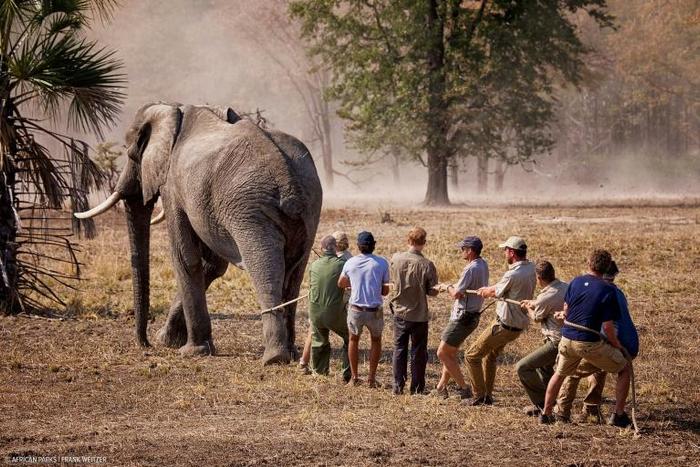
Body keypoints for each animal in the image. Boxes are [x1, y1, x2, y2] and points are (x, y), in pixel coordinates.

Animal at [76, 103, 322, 364]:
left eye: (132, 154)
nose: (145, 344)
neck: (174, 110)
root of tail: (289, 181)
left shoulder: (172, 185)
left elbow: (185, 257)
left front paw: (191, 350)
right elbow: (212, 264)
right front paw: (168, 340)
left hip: (251, 212)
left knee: (265, 268)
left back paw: (274, 357)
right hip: (309, 209)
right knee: (295, 272)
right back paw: (292, 352)